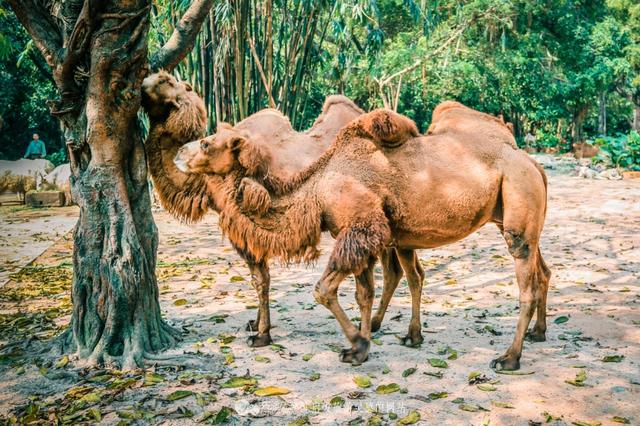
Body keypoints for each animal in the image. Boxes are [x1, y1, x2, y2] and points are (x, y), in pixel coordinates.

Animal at [142, 71, 420, 348]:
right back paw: (379, 325)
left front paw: (262, 334)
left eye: (165, 80)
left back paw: (393, 330)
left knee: (396, 272)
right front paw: (255, 323)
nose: (142, 83)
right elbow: (259, 277)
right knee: (396, 270)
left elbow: (260, 279)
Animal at [175, 103, 552, 370]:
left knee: (526, 283)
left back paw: (509, 358)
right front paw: (366, 341)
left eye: (207, 143)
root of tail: (533, 163)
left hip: (517, 200)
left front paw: (357, 345)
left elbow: (323, 290)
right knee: (541, 270)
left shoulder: (360, 227)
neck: (317, 189)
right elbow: (364, 293)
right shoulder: (360, 234)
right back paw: (535, 333)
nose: (179, 153)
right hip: (510, 214)